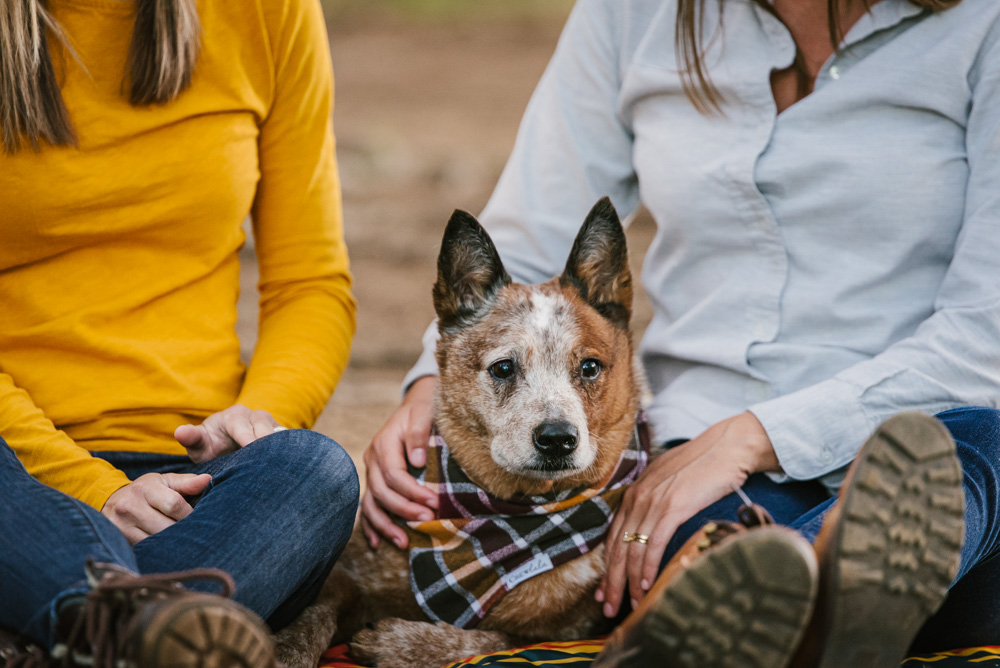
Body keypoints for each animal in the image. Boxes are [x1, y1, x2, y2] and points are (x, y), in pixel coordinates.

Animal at [275, 197, 647, 668]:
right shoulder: (351, 568)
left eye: (590, 367)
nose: (557, 438)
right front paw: (283, 649)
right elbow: (314, 610)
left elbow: (488, 638)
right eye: (503, 367)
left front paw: (396, 643)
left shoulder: (562, 633)